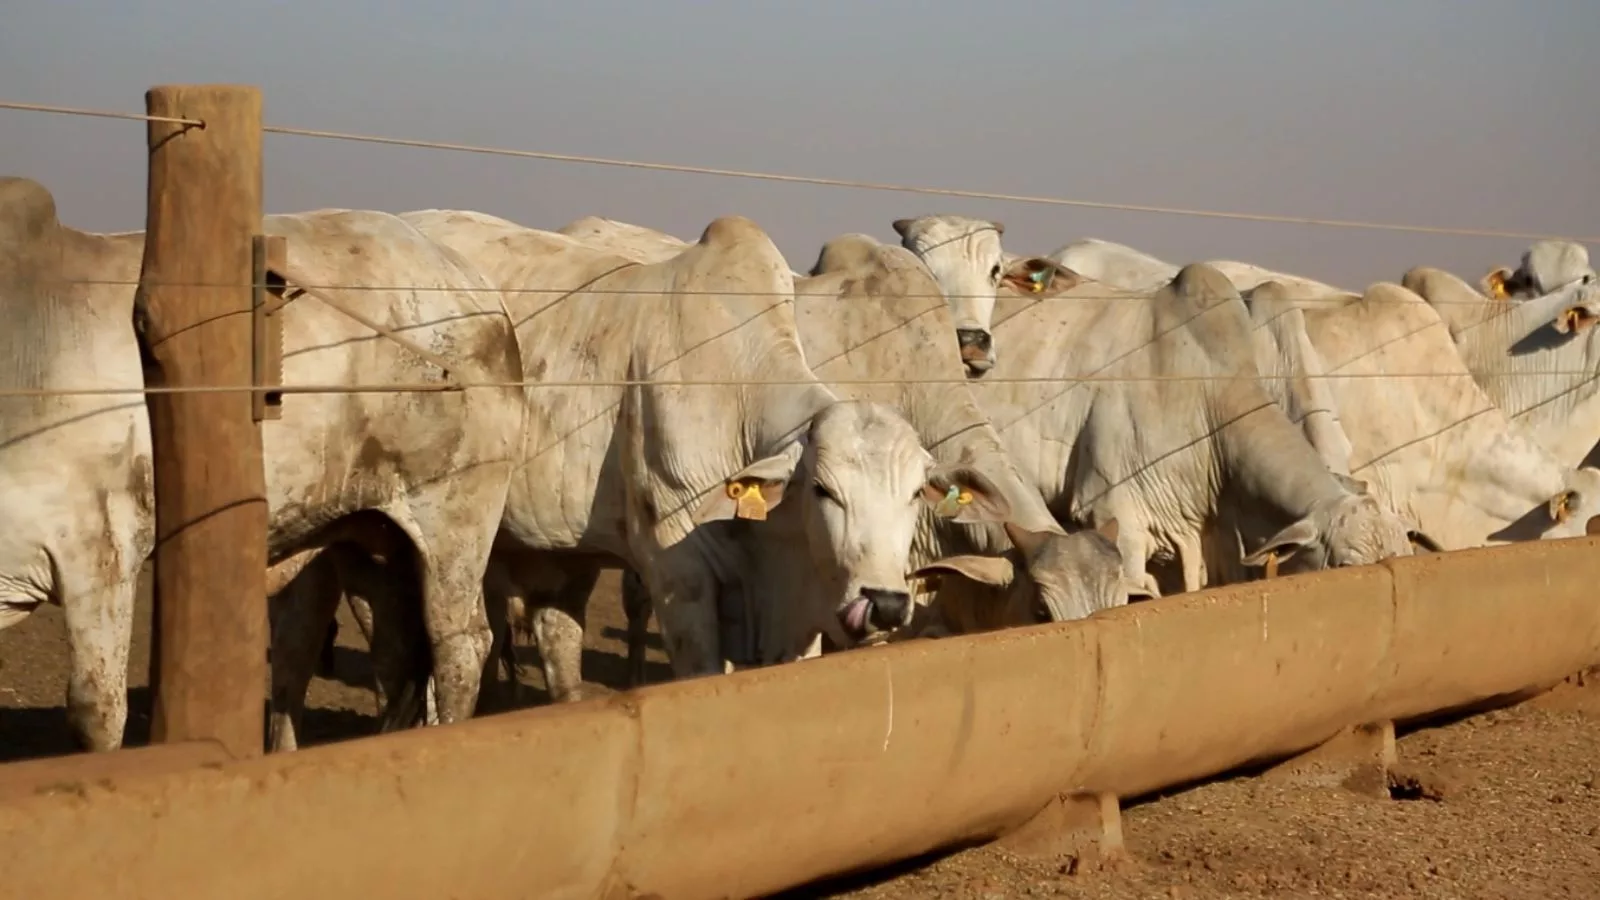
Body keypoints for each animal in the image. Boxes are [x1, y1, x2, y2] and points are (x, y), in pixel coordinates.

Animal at [0, 176, 524, 749]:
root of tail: (479, 290)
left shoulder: (98, 549)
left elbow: (95, 713)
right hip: (371, 539)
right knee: (385, 651)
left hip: (454, 521)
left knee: (462, 644)